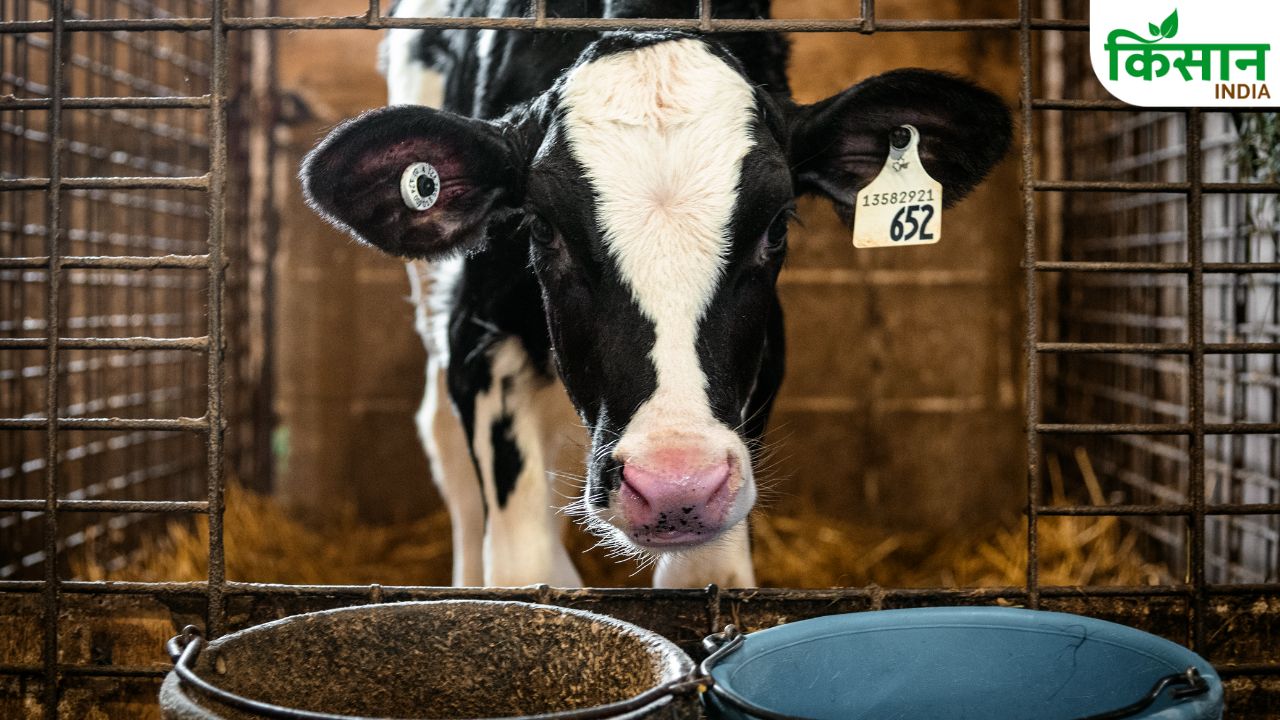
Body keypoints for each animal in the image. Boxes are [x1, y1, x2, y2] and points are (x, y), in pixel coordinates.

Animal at [300, 0, 1011, 588]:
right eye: (543, 228)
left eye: (777, 226)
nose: (674, 485)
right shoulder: (480, 339)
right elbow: (527, 576)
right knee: (443, 436)